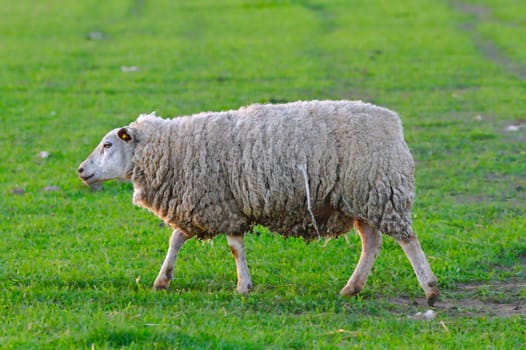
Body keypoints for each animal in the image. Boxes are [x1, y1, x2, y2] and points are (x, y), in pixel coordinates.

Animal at [78, 100, 442, 304]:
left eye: (108, 144)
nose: (81, 170)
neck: (174, 149)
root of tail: (394, 124)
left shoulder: (223, 205)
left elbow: (234, 248)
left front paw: (243, 287)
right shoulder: (203, 204)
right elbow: (176, 239)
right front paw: (162, 280)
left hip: (381, 191)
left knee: (407, 240)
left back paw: (430, 289)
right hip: (357, 199)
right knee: (372, 243)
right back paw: (351, 288)